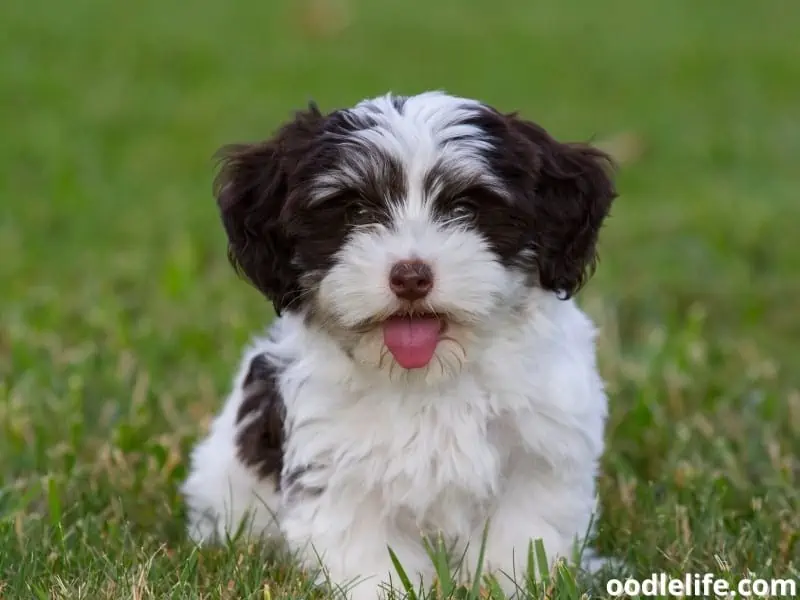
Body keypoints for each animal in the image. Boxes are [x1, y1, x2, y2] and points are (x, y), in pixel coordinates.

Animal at [183, 91, 620, 596]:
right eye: (355, 213)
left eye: (465, 210)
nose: (411, 276)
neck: (432, 374)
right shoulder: (338, 466)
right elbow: (368, 553)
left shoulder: (540, 452)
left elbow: (523, 536)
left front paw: (511, 584)